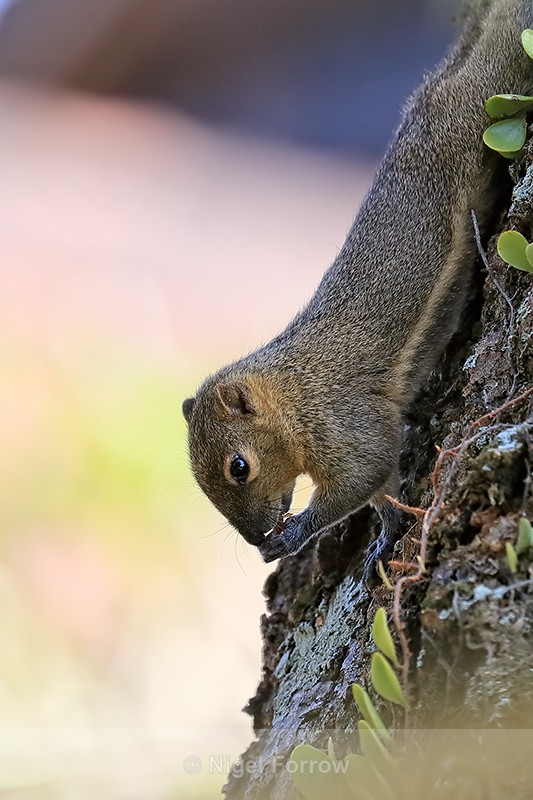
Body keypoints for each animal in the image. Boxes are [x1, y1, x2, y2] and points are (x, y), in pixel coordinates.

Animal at [182, 0, 533, 571]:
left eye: (239, 466)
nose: (255, 539)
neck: (292, 390)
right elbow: (383, 489)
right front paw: (384, 536)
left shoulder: (341, 418)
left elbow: (363, 473)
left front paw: (294, 535)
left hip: (490, 94)